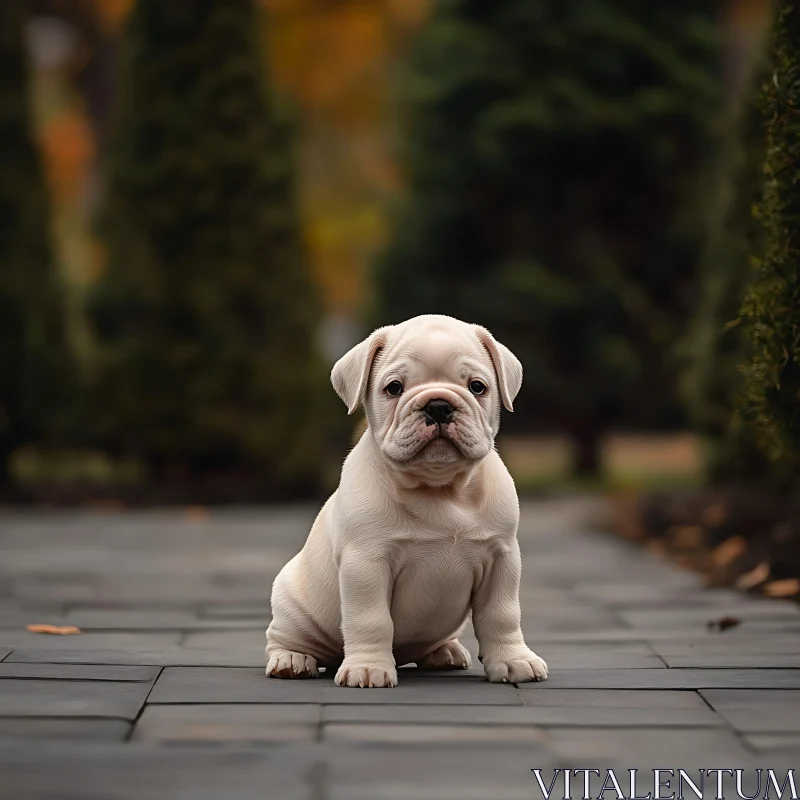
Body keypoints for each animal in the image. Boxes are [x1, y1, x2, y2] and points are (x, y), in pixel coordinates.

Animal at [266, 312, 548, 688]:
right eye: (394, 388)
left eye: (477, 387)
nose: (439, 405)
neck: (439, 488)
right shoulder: (366, 564)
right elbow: (370, 618)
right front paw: (368, 667)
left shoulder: (502, 559)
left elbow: (501, 615)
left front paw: (514, 660)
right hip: (292, 605)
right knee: (284, 637)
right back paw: (291, 660)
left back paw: (444, 652)